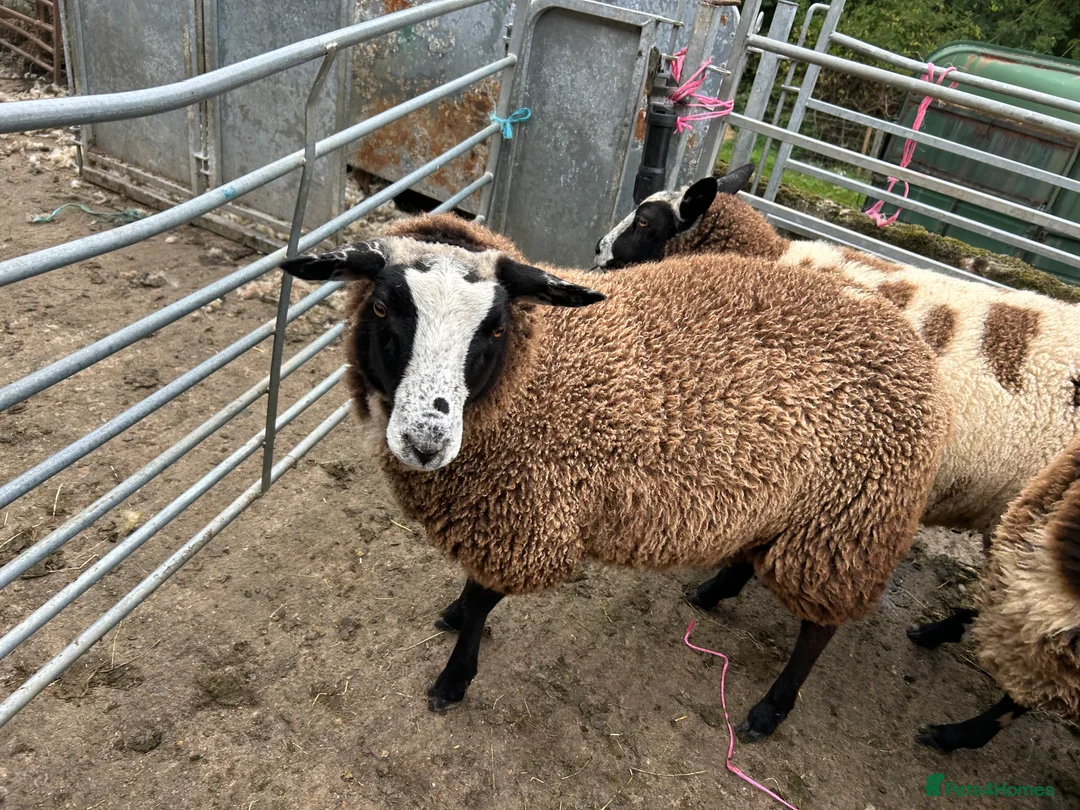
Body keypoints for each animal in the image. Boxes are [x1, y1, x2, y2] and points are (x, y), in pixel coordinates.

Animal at [279, 213, 951, 740]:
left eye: (494, 327)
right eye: (382, 306)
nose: (425, 442)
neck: (532, 375)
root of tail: (905, 337)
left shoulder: (527, 512)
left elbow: (484, 601)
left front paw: (453, 677)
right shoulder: (498, 507)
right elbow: (472, 592)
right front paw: (453, 612)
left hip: (849, 521)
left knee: (818, 628)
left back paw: (770, 711)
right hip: (799, 507)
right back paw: (713, 593)